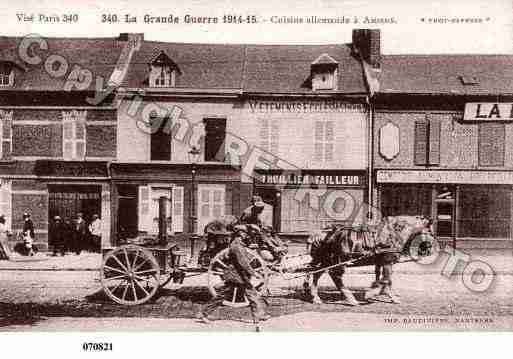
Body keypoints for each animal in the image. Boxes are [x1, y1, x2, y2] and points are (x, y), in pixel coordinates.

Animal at [304, 217, 436, 306]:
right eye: (430, 231)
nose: (430, 249)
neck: (393, 234)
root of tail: (324, 234)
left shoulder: (383, 262)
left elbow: (384, 278)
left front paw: (383, 293)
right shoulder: (388, 262)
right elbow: (386, 280)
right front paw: (374, 293)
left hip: (326, 260)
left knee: (316, 273)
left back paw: (315, 297)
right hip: (339, 259)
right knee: (335, 276)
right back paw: (350, 298)